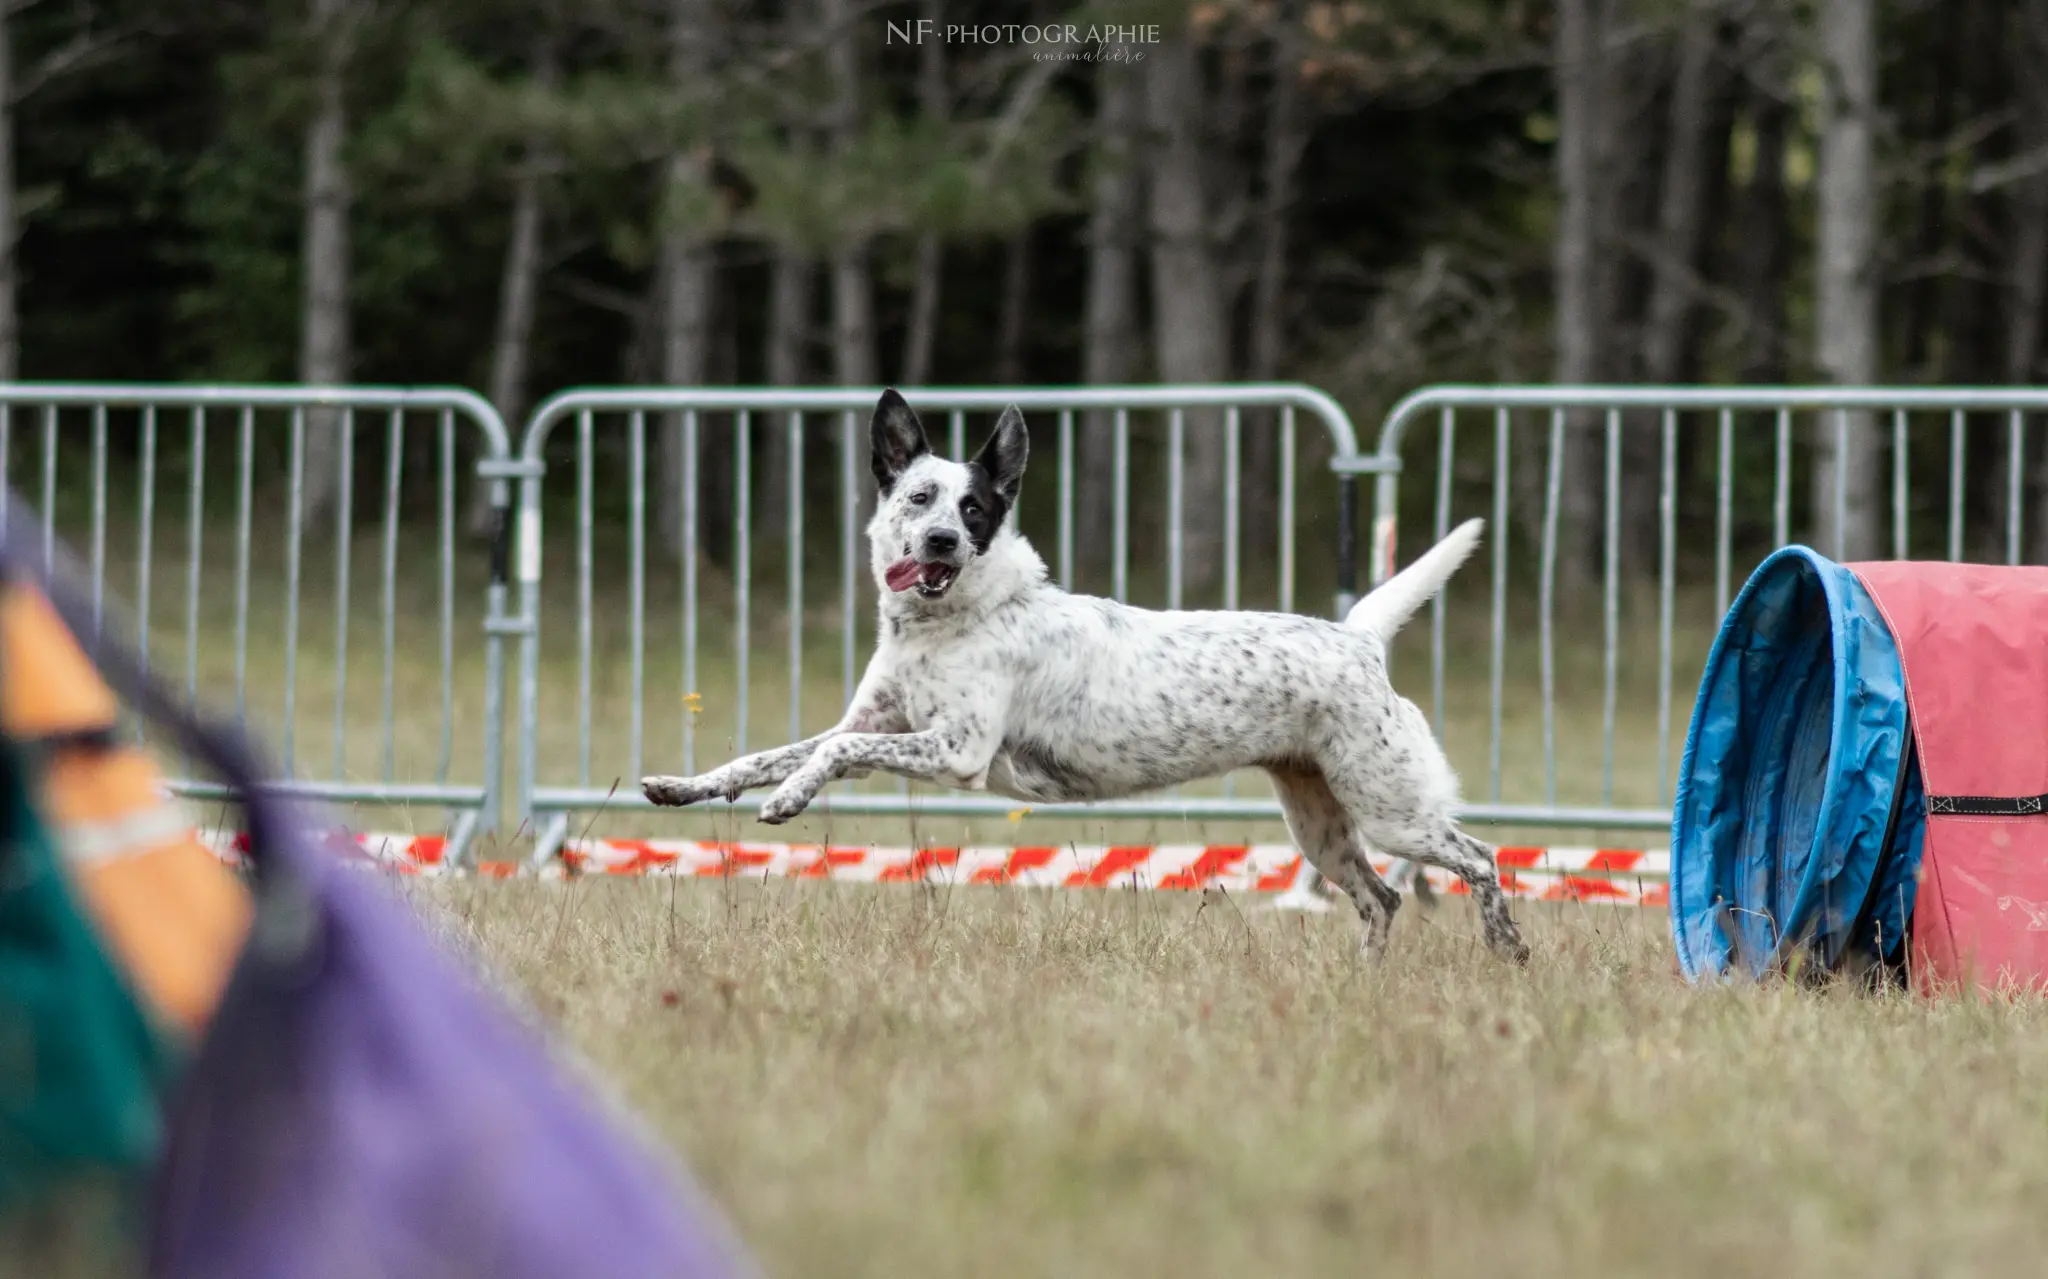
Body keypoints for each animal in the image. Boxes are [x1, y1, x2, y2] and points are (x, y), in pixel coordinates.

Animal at [647, 388, 1531, 957]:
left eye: (975, 509)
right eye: (920, 497)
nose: (941, 542)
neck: (950, 620)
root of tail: (1357, 639)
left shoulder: (956, 751)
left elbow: (824, 759)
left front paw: (788, 802)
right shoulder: (871, 725)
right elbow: (763, 756)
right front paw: (685, 786)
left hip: (1391, 809)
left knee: (1480, 858)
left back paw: (1507, 946)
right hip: (1318, 822)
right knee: (1382, 898)